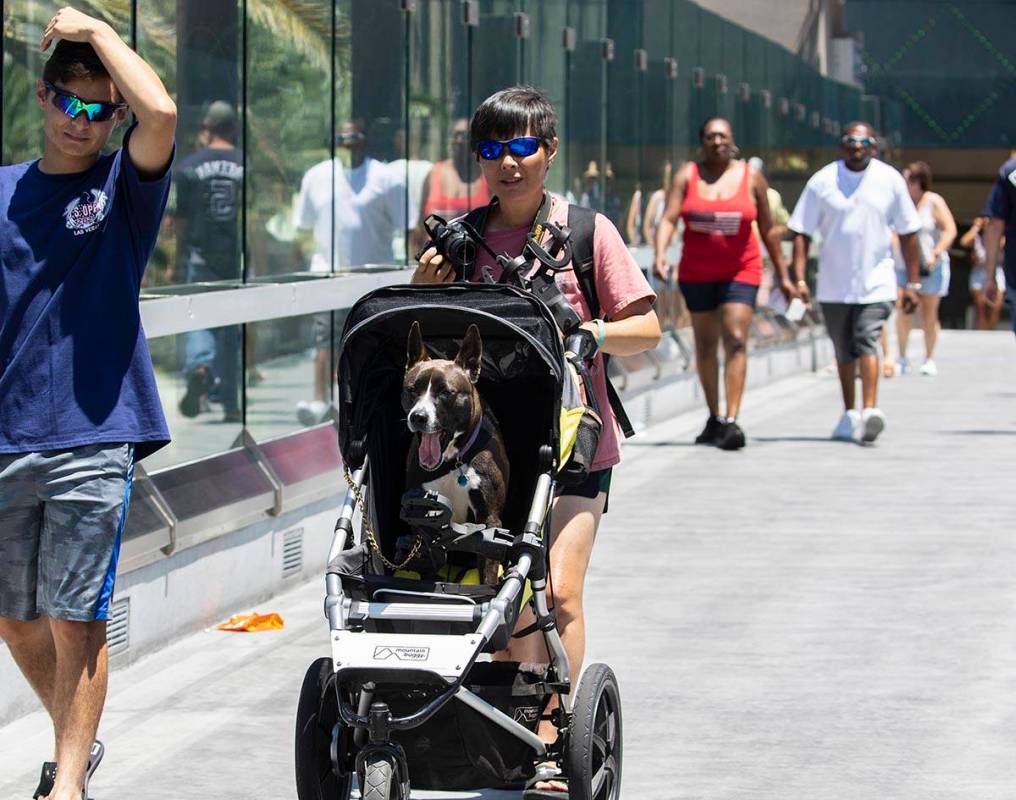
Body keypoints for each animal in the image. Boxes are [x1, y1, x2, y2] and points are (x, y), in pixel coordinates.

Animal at [402, 319, 508, 536]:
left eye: (445, 392)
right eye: (412, 390)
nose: (418, 417)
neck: (452, 460)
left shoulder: (490, 517)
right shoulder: (419, 513)